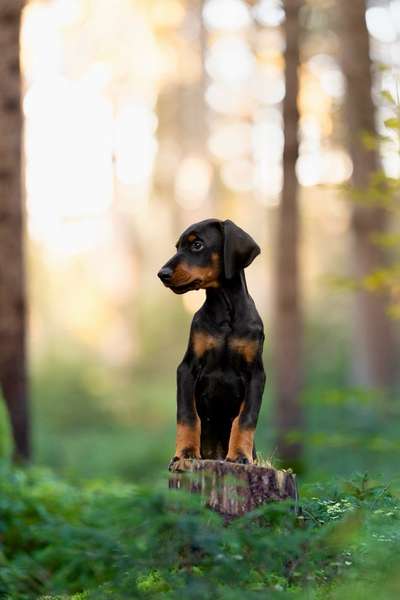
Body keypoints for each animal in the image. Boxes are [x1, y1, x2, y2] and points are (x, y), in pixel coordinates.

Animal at [157, 218, 266, 466]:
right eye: (177, 247)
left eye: (197, 245)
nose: (162, 273)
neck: (225, 311)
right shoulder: (187, 368)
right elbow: (188, 415)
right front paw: (185, 452)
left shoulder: (256, 374)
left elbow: (246, 418)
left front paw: (240, 455)